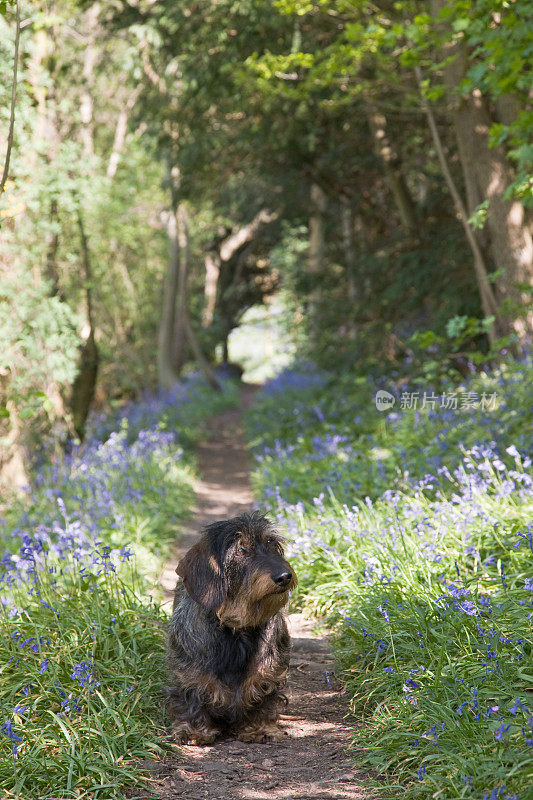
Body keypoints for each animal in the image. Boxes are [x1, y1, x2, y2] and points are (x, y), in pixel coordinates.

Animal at [166, 512, 298, 744]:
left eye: (271, 543)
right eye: (240, 551)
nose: (284, 576)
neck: (237, 630)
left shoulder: (268, 671)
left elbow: (263, 694)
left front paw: (259, 727)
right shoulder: (191, 674)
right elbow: (193, 696)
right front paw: (194, 730)